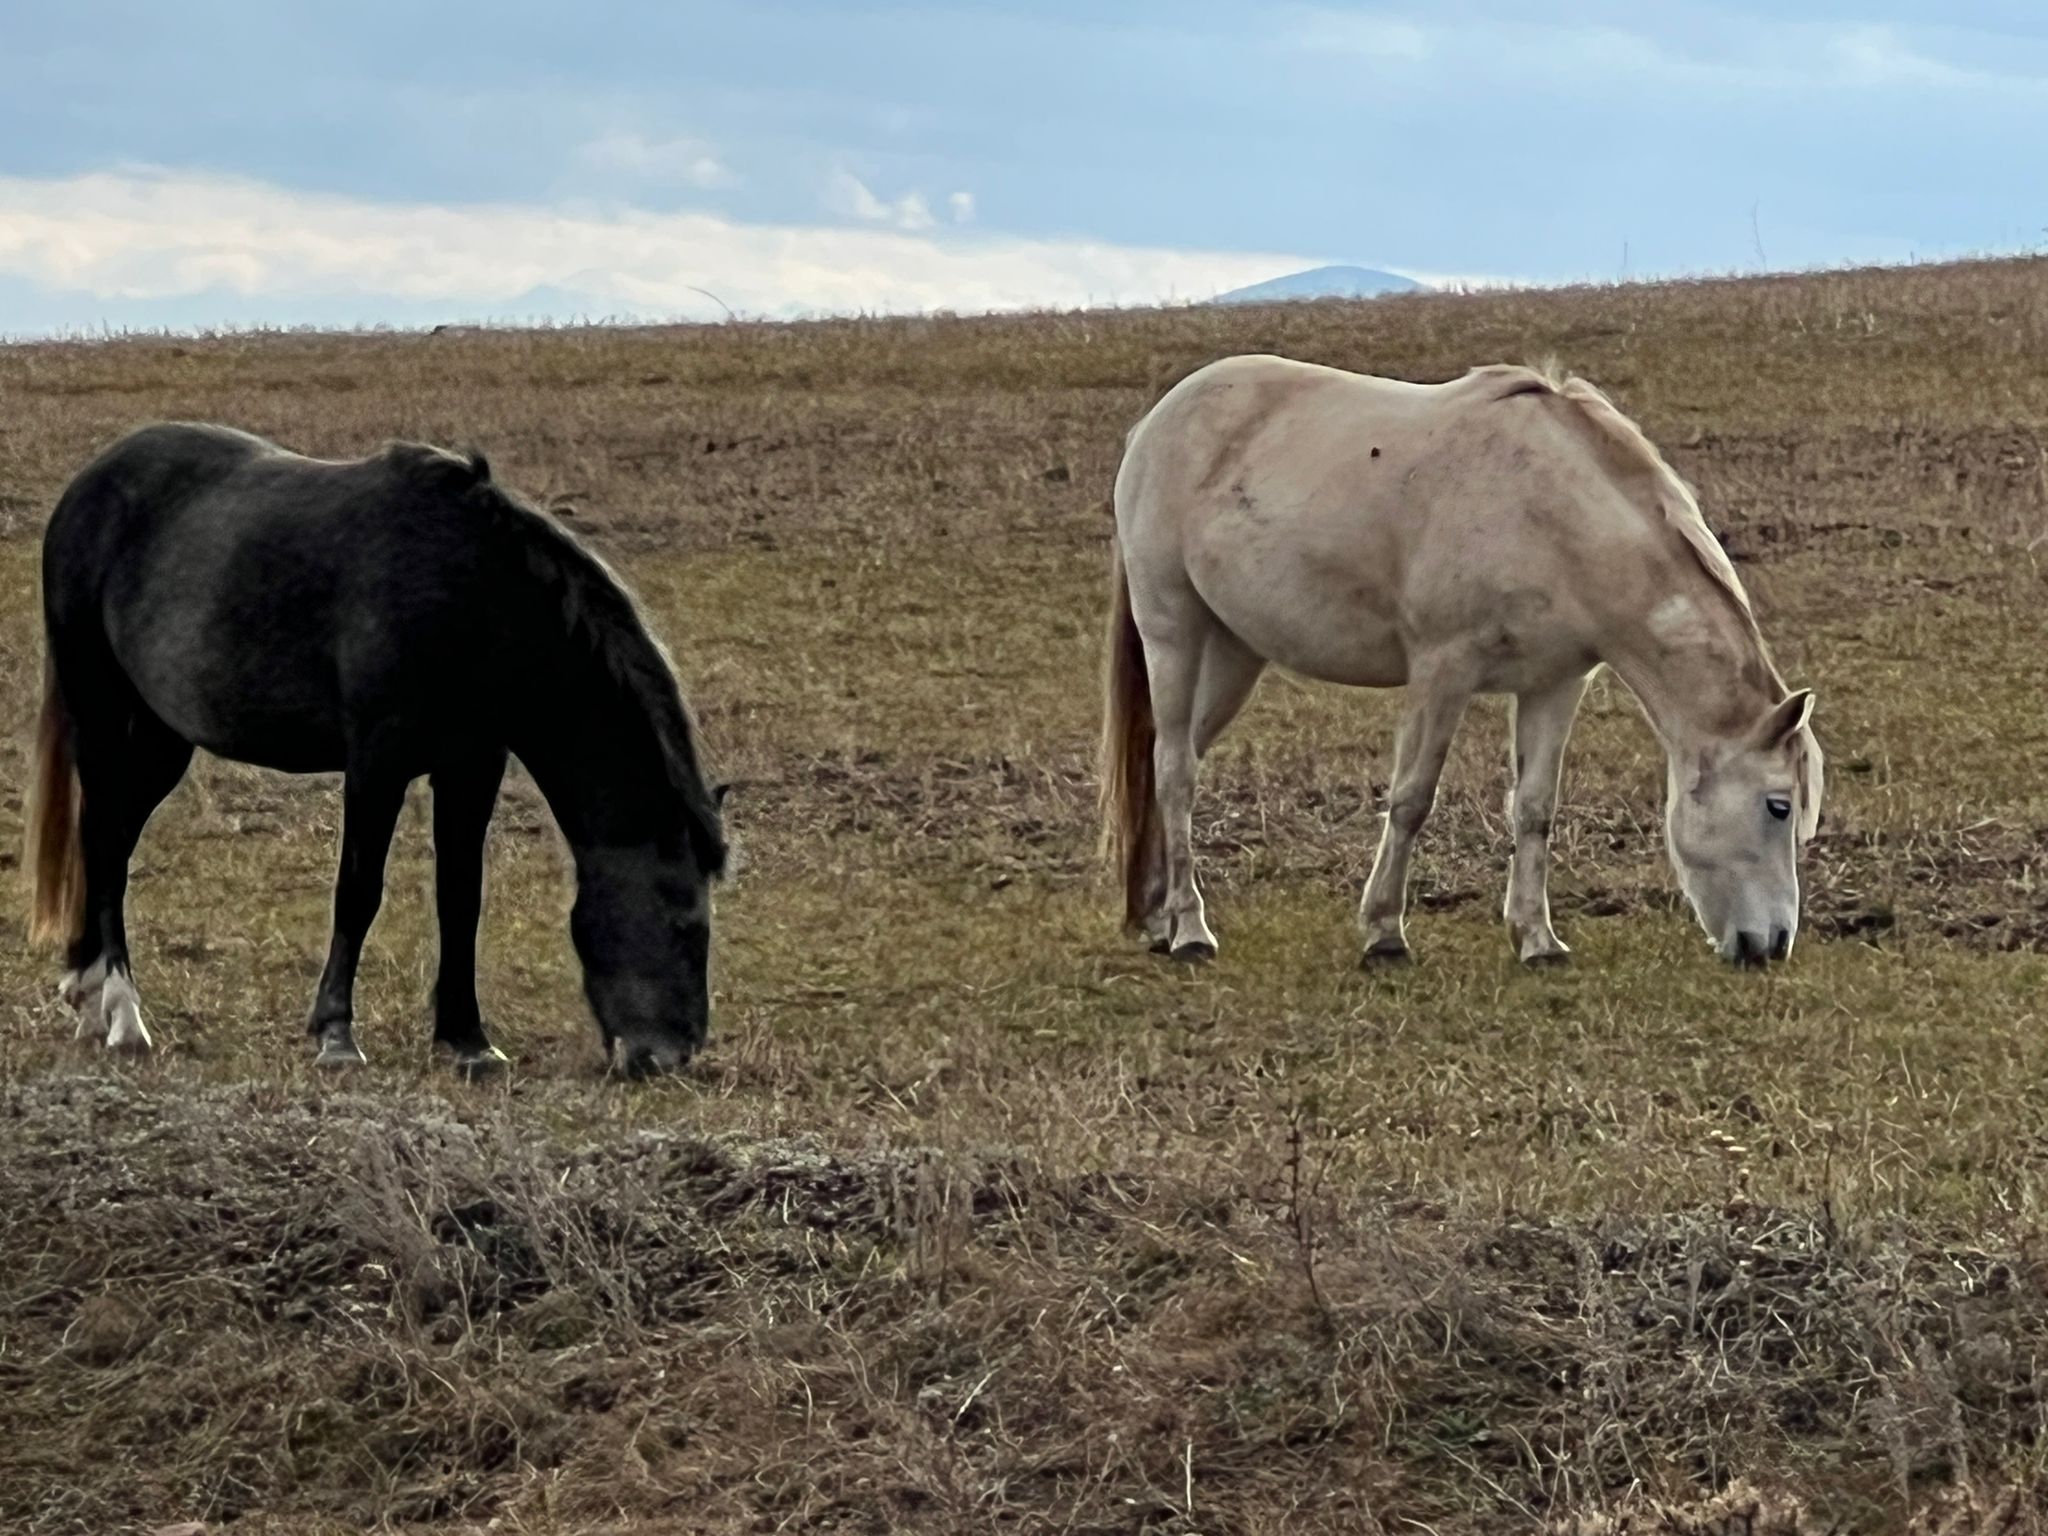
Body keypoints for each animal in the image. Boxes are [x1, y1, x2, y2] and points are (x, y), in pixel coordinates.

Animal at [24, 417, 729, 1073]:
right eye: (684, 924)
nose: (671, 1056)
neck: (474, 595)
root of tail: (88, 486)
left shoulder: (472, 765)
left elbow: (460, 895)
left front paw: (467, 1039)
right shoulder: (377, 762)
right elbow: (359, 890)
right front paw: (336, 1034)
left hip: (162, 738)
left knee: (108, 840)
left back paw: (87, 990)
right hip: (104, 715)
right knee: (104, 842)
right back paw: (122, 1012)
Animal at [1105, 354, 1826, 966]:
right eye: (1778, 806)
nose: (1773, 944)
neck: (1551, 516)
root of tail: (1158, 420)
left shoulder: (1555, 684)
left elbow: (1535, 809)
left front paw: (1537, 940)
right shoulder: (1441, 672)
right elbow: (1411, 800)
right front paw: (1384, 933)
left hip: (1235, 653)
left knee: (1173, 759)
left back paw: (1159, 916)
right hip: (1174, 632)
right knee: (1175, 770)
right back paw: (1190, 929)